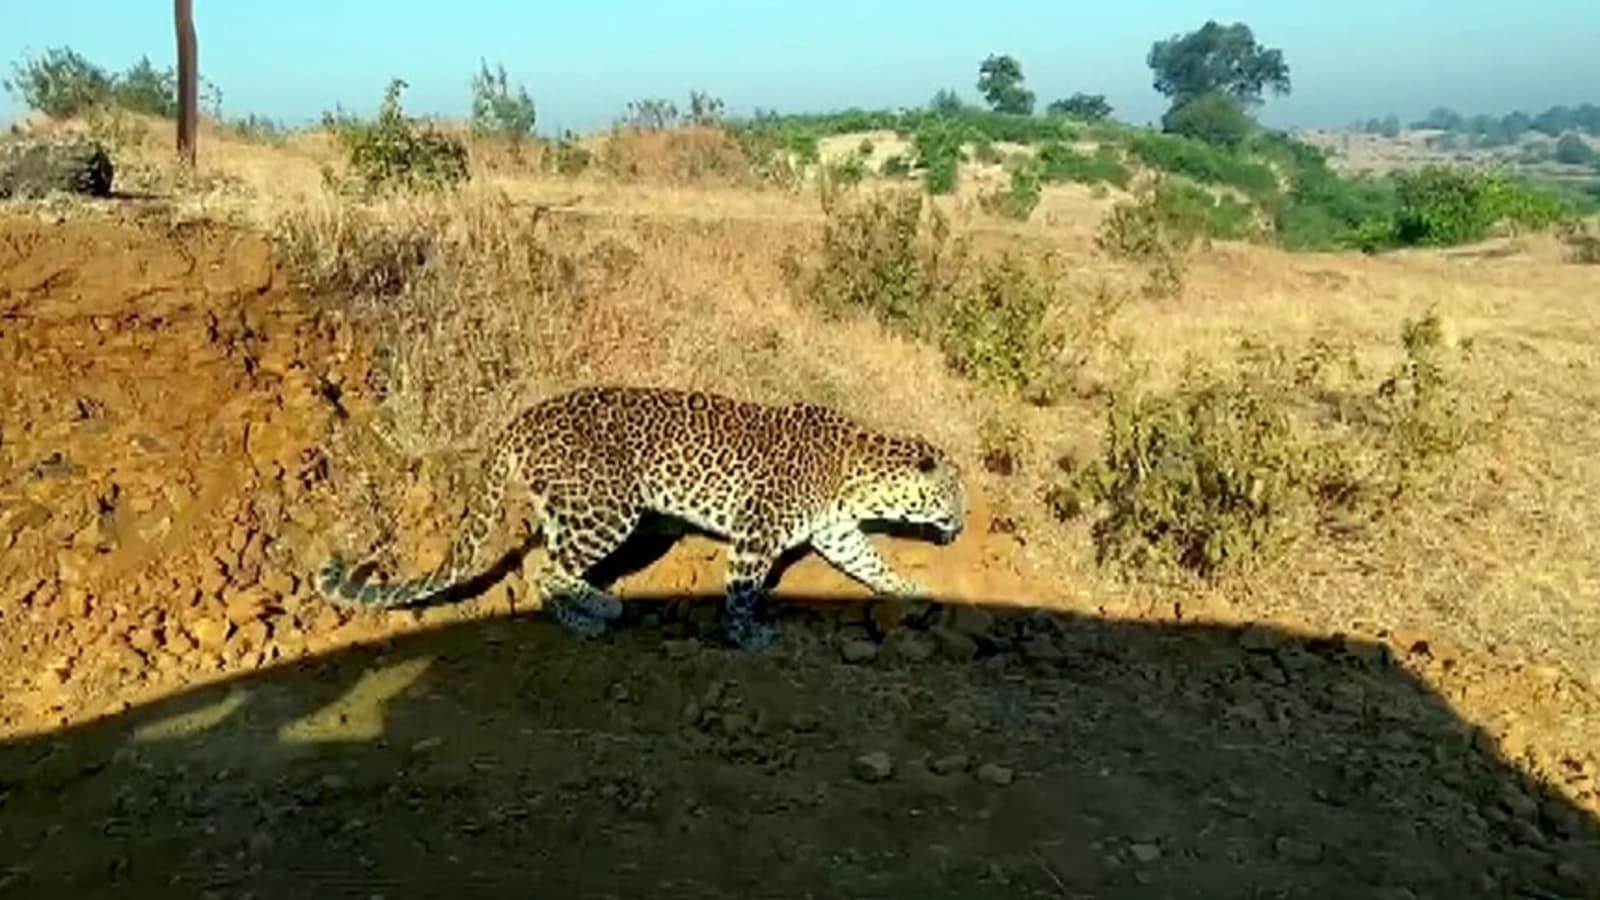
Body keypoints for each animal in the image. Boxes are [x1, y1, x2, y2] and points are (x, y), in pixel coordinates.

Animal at [316, 385, 965, 650]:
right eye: (953, 497)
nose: (961, 526)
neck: (858, 476)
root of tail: (521, 420)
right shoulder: (756, 536)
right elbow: (742, 592)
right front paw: (746, 635)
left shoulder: (835, 532)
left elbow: (869, 561)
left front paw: (908, 588)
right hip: (608, 508)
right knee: (548, 566)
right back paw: (601, 610)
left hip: (574, 508)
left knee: (540, 562)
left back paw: (582, 618)